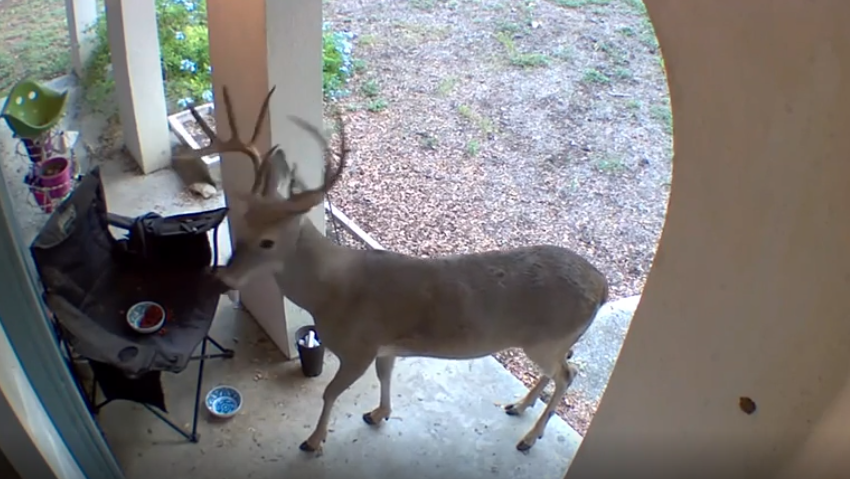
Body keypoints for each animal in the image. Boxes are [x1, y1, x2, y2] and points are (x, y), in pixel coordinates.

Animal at [181, 85, 608, 458]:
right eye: (241, 225)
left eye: (267, 242)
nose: (222, 278)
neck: (330, 292)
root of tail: (602, 287)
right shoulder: (384, 348)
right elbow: (385, 377)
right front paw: (378, 413)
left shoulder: (359, 347)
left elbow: (330, 392)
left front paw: (313, 441)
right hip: (546, 342)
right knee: (558, 372)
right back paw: (518, 407)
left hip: (547, 340)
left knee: (568, 374)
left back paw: (528, 438)